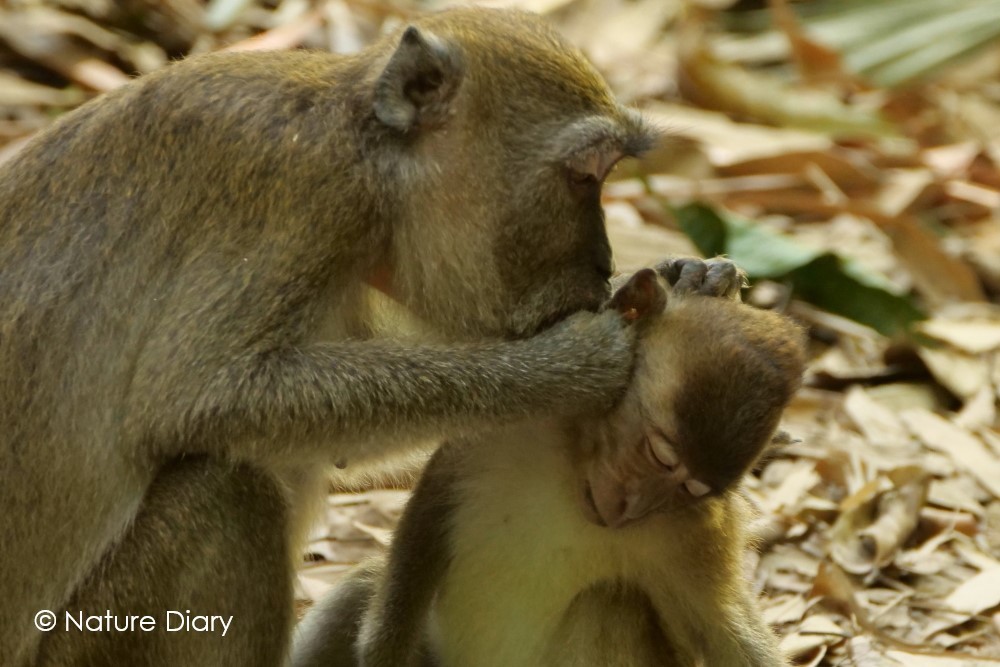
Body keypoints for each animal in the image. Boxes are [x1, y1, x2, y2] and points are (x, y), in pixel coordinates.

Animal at [0, 6, 752, 667]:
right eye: (583, 174)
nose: (601, 262)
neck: (367, 149)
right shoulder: (308, 193)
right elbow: (201, 396)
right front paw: (570, 366)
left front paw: (685, 276)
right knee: (224, 491)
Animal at [292, 270, 808, 667]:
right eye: (661, 456)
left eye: (692, 490)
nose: (632, 508)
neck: (572, 464)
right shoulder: (497, 425)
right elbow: (425, 529)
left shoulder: (699, 535)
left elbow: (725, 630)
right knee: (365, 585)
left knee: (609, 604)